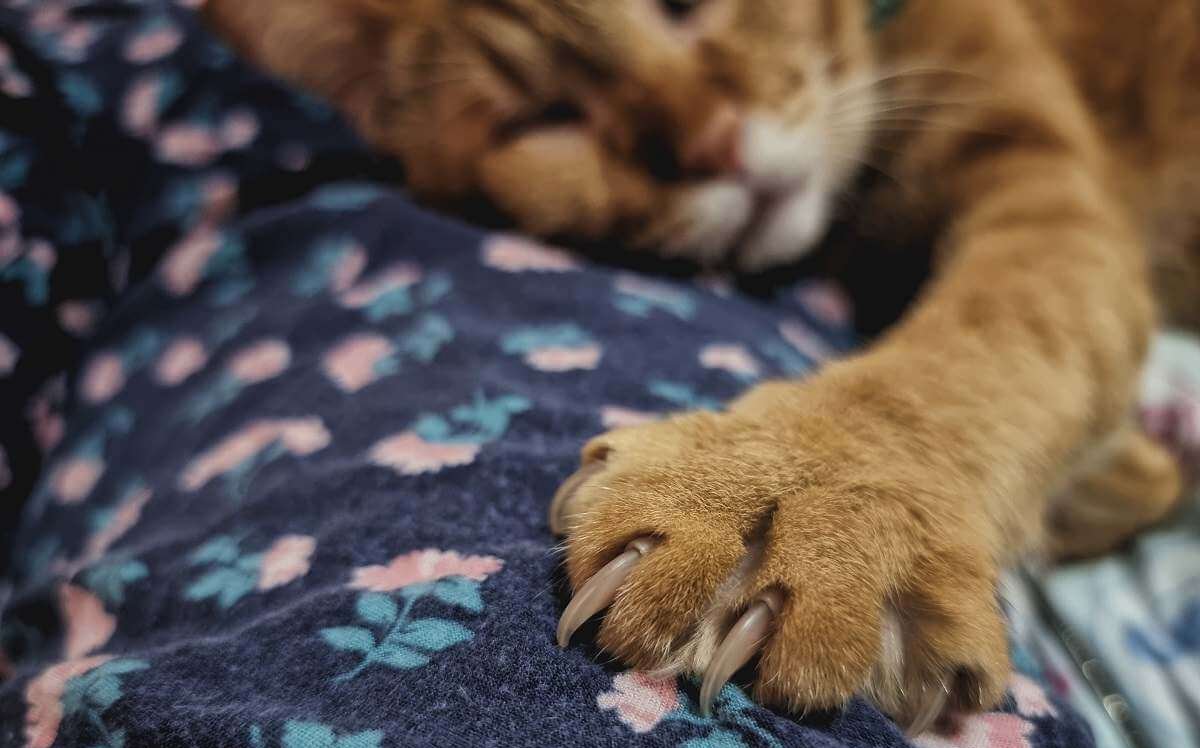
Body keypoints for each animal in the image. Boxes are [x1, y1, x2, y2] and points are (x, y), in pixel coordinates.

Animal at [206, 0, 1200, 739]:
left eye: (683, 9)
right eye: (548, 118)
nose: (717, 146)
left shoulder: (1044, 190)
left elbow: (994, 338)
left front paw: (807, 495)